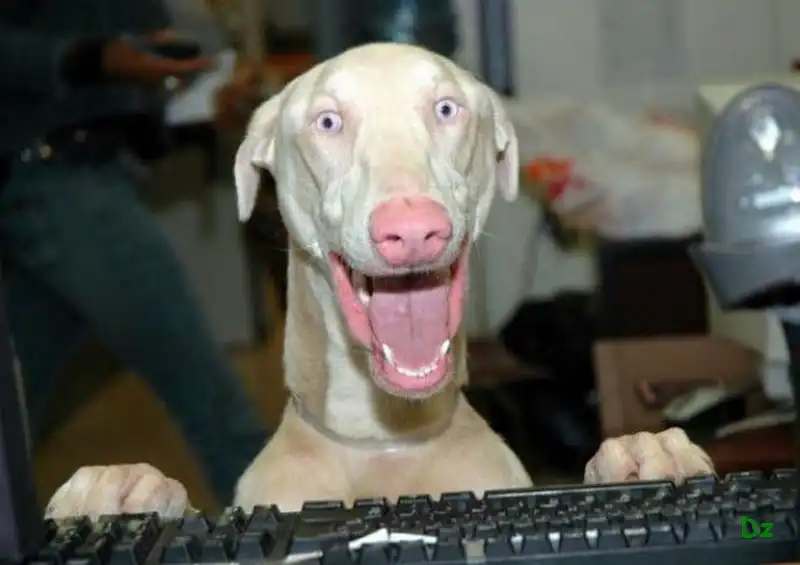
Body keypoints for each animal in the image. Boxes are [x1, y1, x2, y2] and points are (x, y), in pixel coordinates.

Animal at [45, 43, 714, 519]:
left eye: (447, 109)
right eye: (327, 122)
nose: (414, 231)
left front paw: (640, 457)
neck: (381, 440)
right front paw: (125, 490)